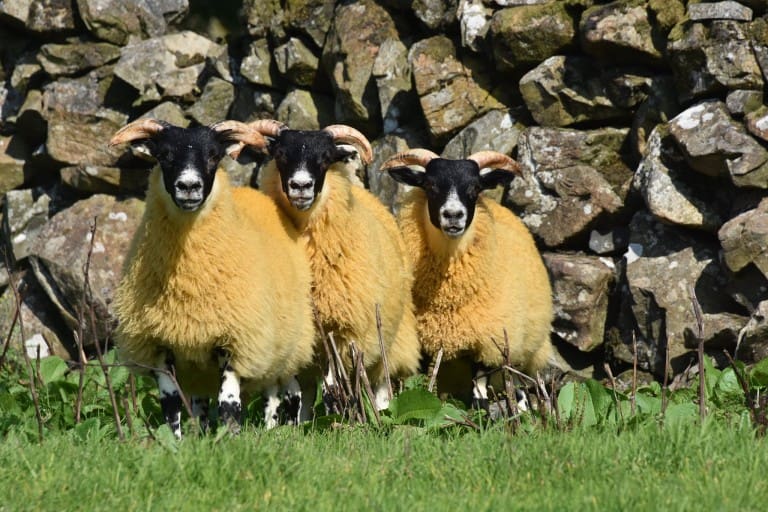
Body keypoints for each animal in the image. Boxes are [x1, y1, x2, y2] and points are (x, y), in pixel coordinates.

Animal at [108, 118, 316, 437]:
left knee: (288, 392)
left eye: (213, 156)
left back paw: (281, 431)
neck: (188, 276)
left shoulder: (234, 340)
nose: (189, 186)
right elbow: (171, 405)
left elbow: (229, 403)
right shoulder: (160, 344)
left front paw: (230, 439)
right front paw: (177, 442)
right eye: (165, 155)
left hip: (287, 345)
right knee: (214, 401)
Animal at [245, 120, 421, 411]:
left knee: (382, 381)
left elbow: (332, 388)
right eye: (280, 155)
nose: (300, 185)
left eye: (325, 158)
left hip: (392, 335)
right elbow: (296, 392)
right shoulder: (298, 335)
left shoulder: (343, 333)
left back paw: (382, 411)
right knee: (306, 390)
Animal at [381, 149, 554, 411]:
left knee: (516, 385)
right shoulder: (426, 341)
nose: (453, 215)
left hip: (520, 349)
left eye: (475, 187)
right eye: (430, 185)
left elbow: (479, 390)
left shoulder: (489, 342)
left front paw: (481, 412)